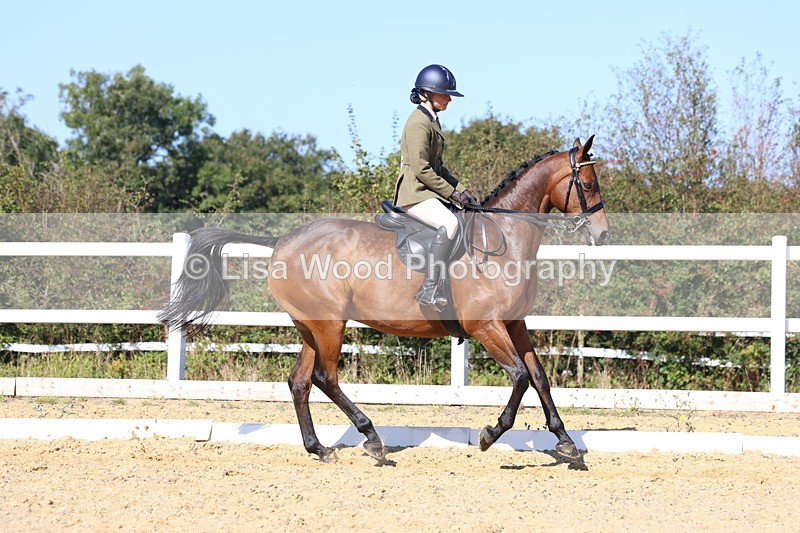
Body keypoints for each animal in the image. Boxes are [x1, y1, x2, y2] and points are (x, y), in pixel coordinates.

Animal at [159, 136, 609, 463]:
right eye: (587, 184)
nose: (603, 234)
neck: (503, 241)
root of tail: (283, 240)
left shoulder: (515, 323)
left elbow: (539, 376)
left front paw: (566, 442)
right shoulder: (486, 326)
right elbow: (519, 377)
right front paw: (489, 434)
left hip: (310, 327)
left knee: (300, 381)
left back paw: (318, 449)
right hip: (330, 324)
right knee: (325, 378)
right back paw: (372, 438)